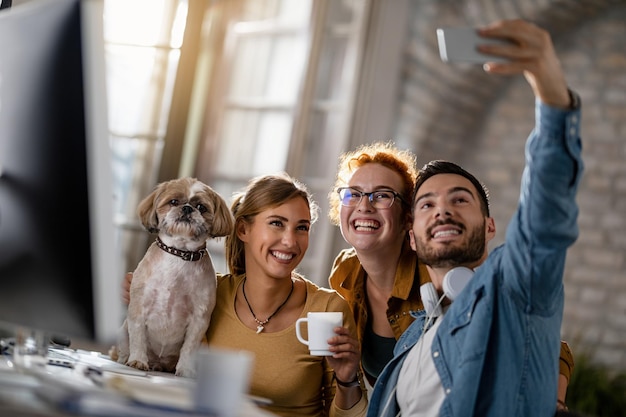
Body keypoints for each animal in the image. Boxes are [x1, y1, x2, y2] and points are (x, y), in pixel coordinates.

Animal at [114, 176, 232, 376]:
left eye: (201, 207)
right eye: (174, 202)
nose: (187, 208)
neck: (179, 254)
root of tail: (159, 362)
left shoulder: (199, 319)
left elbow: (189, 348)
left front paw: (185, 369)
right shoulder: (138, 308)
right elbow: (138, 338)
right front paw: (138, 360)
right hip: (123, 330)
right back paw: (128, 360)